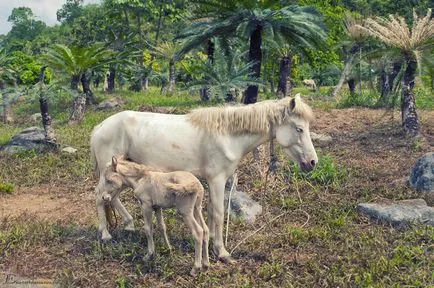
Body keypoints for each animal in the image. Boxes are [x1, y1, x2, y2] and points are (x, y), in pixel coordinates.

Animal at [90, 94, 316, 264]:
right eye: (299, 128)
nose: (312, 162)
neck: (227, 135)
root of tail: (99, 127)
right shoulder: (217, 180)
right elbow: (218, 213)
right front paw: (222, 252)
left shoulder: (211, 182)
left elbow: (209, 212)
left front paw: (212, 246)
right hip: (109, 173)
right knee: (100, 196)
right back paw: (105, 234)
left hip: (119, 174)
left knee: (112, 197)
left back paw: (128, 224)